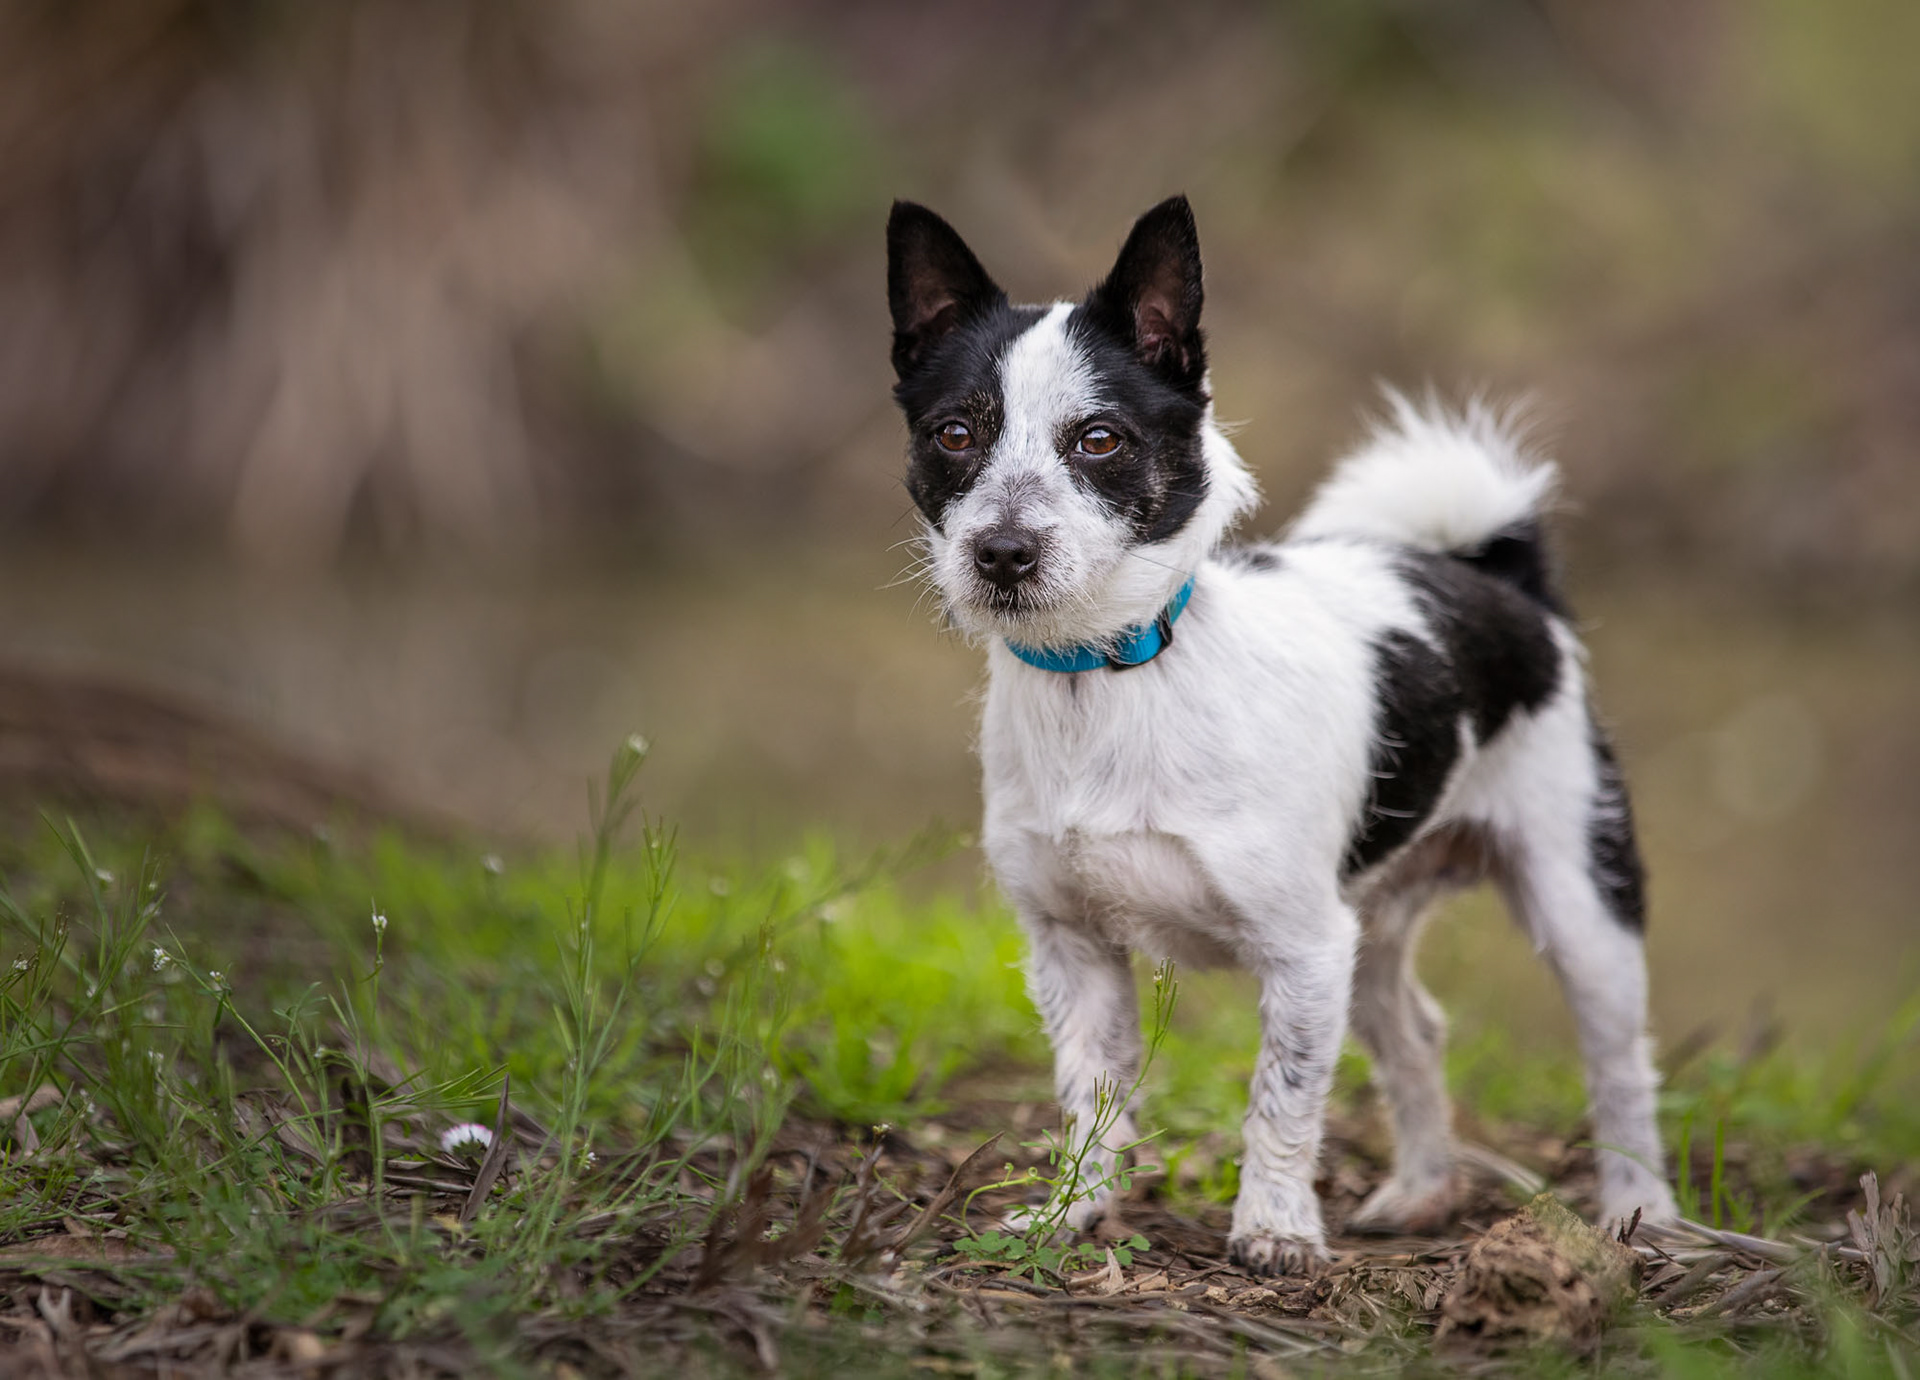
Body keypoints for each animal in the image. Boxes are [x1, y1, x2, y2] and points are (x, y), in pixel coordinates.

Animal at [884, 195, 1679, 1274]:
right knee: (1418, 1035)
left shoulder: (1303, 955)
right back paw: (1423, 1192)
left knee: (1620, 1069)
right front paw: (1073, 1216)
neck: (1116, 673)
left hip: (1581, 905)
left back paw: (1642, 1213)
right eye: (955, 433)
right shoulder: (1076, 953)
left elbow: (1283, 1101)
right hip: (1372, 932)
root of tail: (1499, 576)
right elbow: (1092, 1099)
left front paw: (1274, 1229)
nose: (1001, 551)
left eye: (1100, 440)